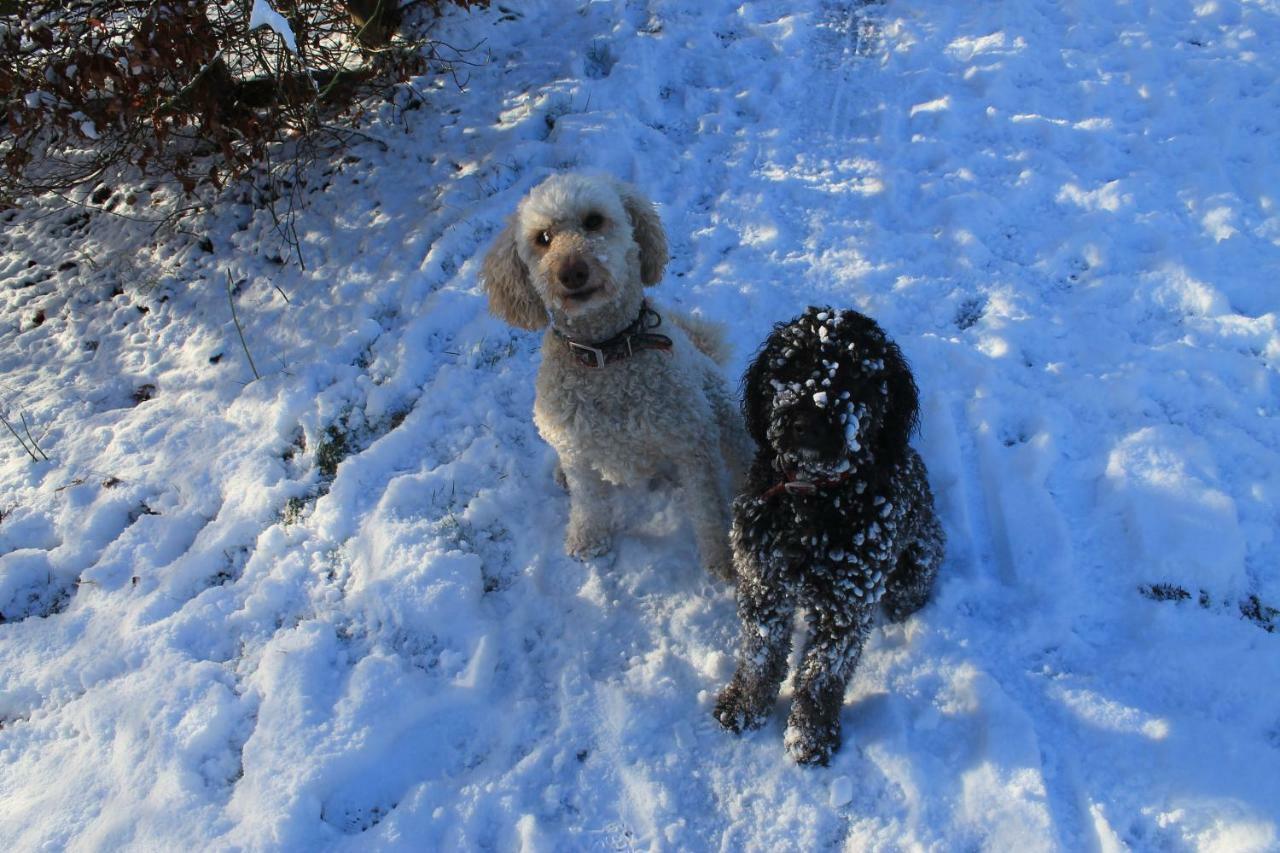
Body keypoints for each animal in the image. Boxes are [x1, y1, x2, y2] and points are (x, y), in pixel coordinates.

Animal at [481, 172, 747, 578]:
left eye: (593, 221)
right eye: (543, 238)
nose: (571, 271)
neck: (607, 353)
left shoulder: (691, 444)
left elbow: (706, 509)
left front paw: (721, 558)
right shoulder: (577, 450)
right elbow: (588, 500)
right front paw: (588, 539)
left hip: (720, 410)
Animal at [716, 306, 947, 763]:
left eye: (858, 373)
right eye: (792, 365)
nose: (809, 421)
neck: (813, 502)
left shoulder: (846, 607)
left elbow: (822, 676)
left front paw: (810, 736)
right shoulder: (762, 584)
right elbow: (760, 654)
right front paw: (746, 706)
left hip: (916, 561)